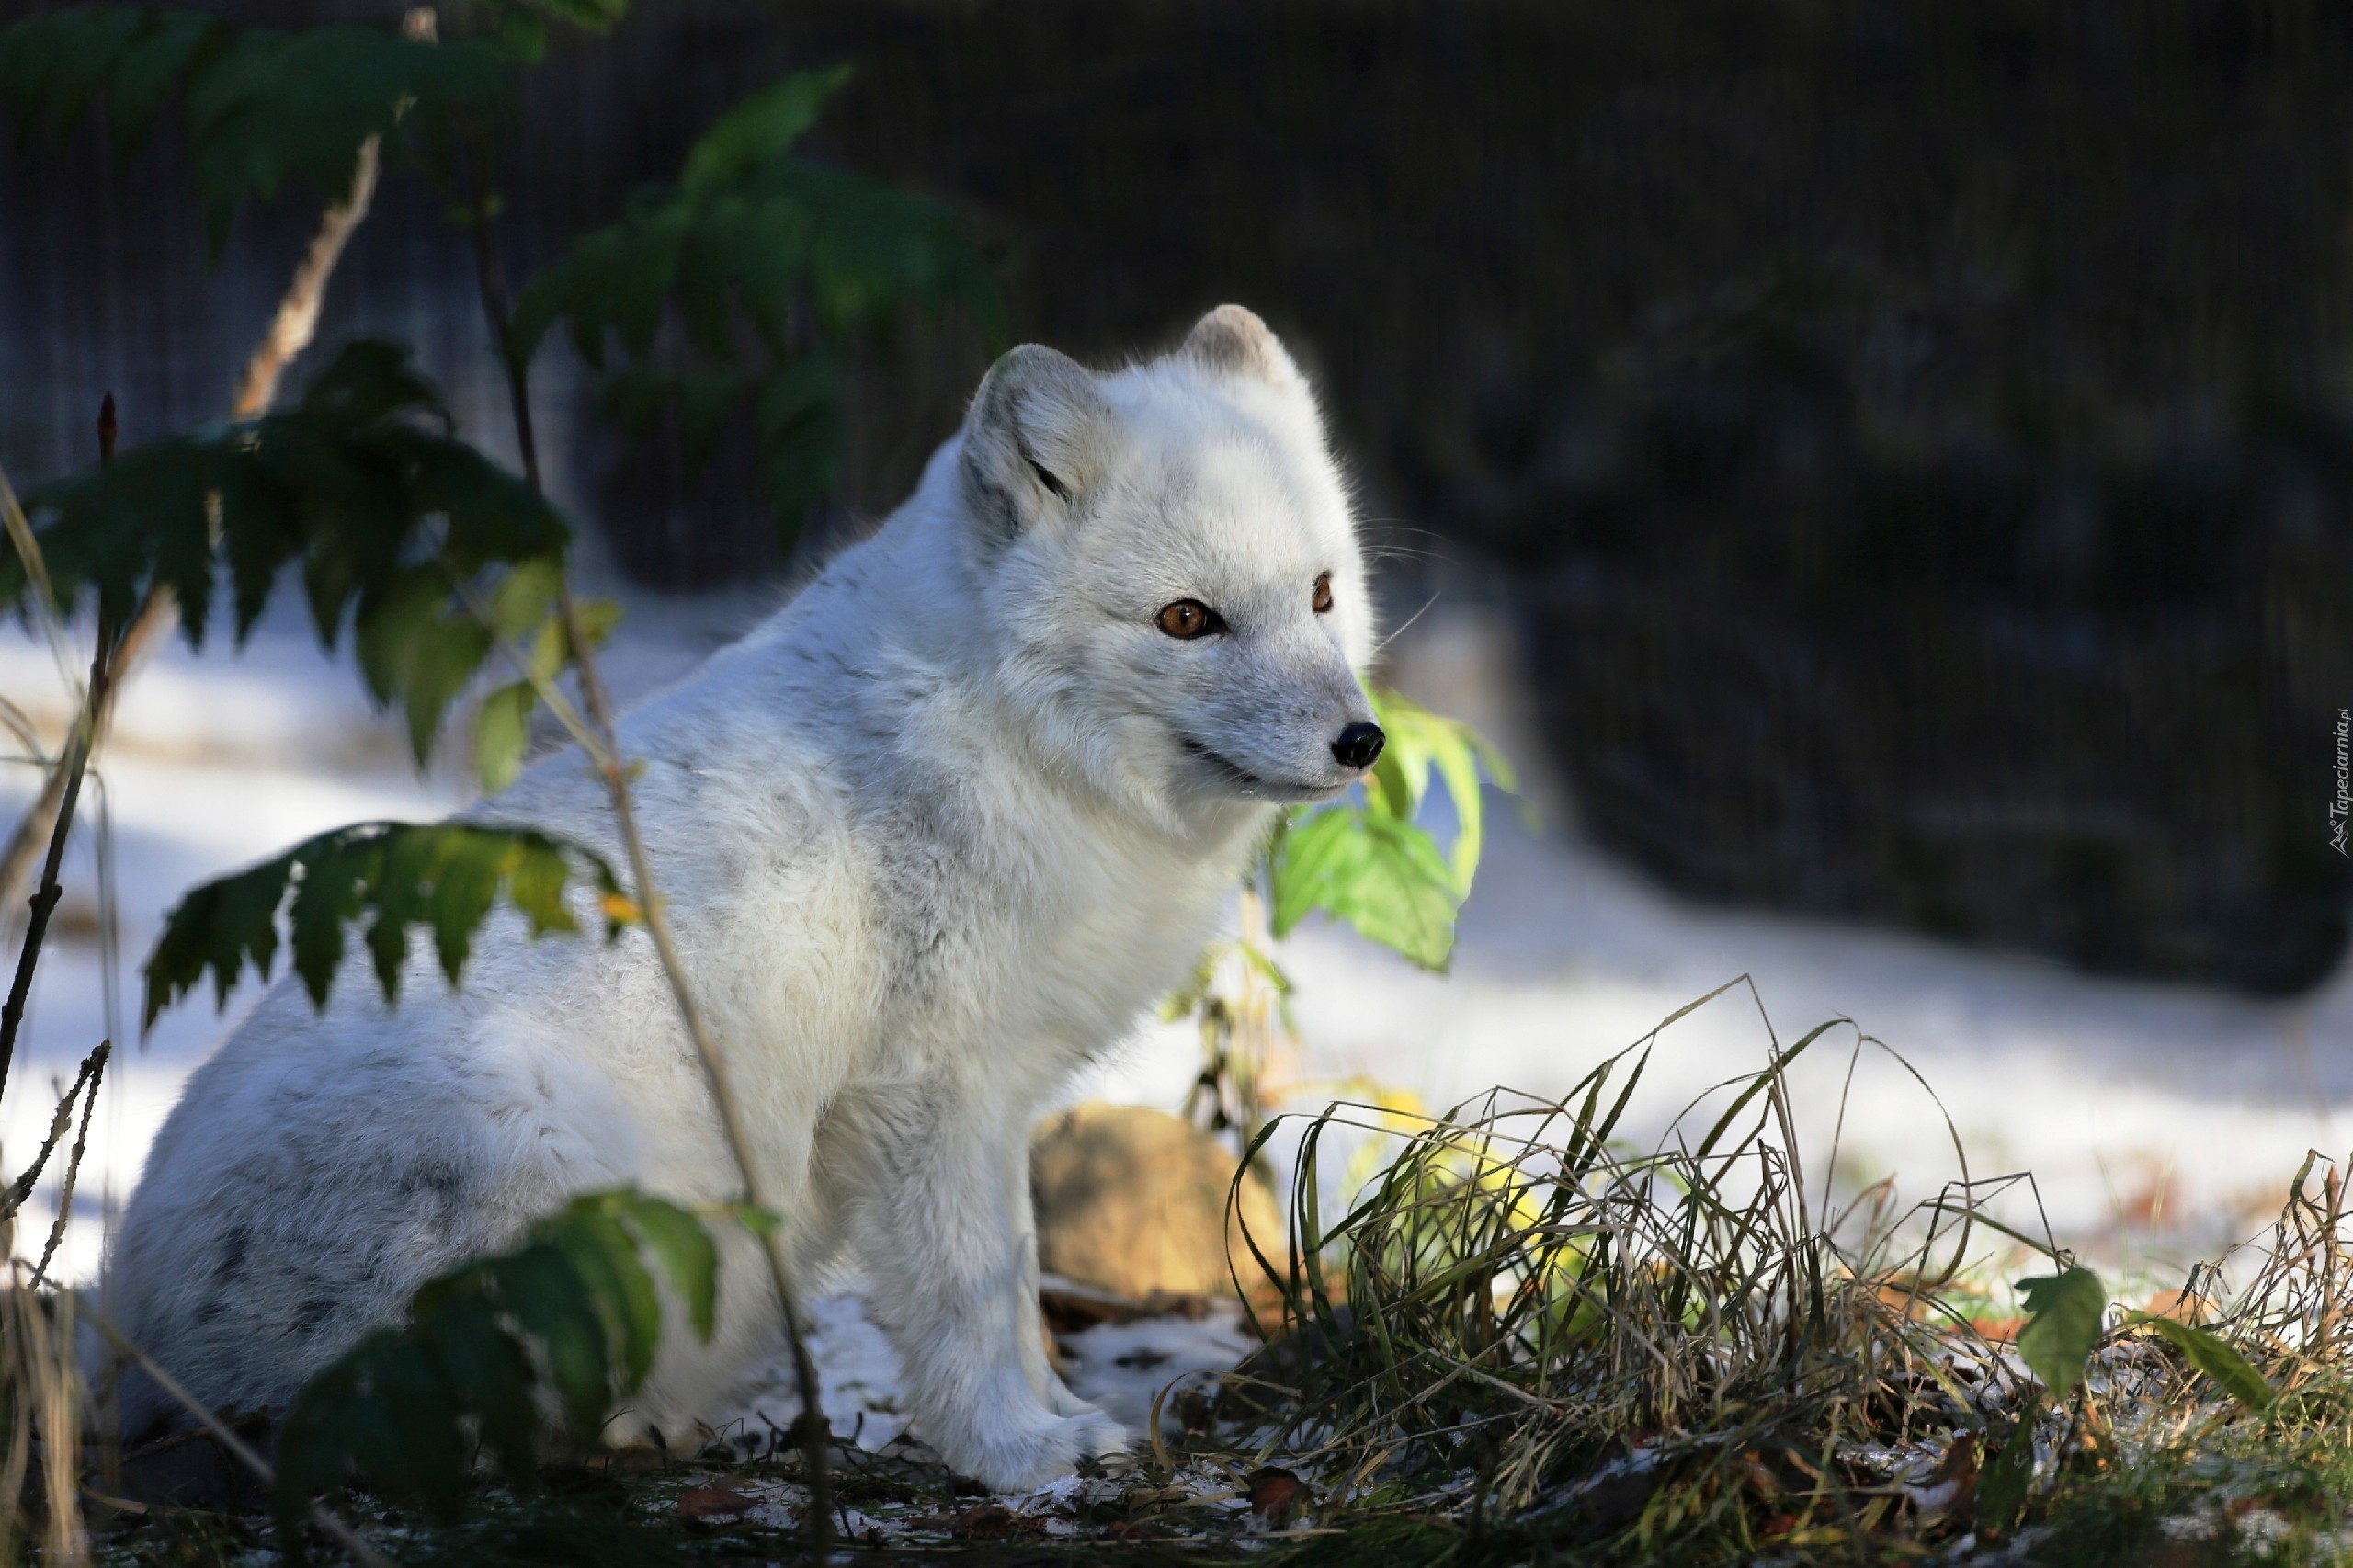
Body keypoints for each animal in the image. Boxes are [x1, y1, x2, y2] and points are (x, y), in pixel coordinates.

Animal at [110, 306, 1383, 1487]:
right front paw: (1013, 1452)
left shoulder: (999, 1098)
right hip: (550, 1140)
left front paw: (1057, 1418)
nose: (1361, 740)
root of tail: (134, 1340)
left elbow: (1018, 1283)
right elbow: (969, 1299)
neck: (1006, 739)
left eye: (1321, 594)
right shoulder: (926, 1095)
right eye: (1187, 619)